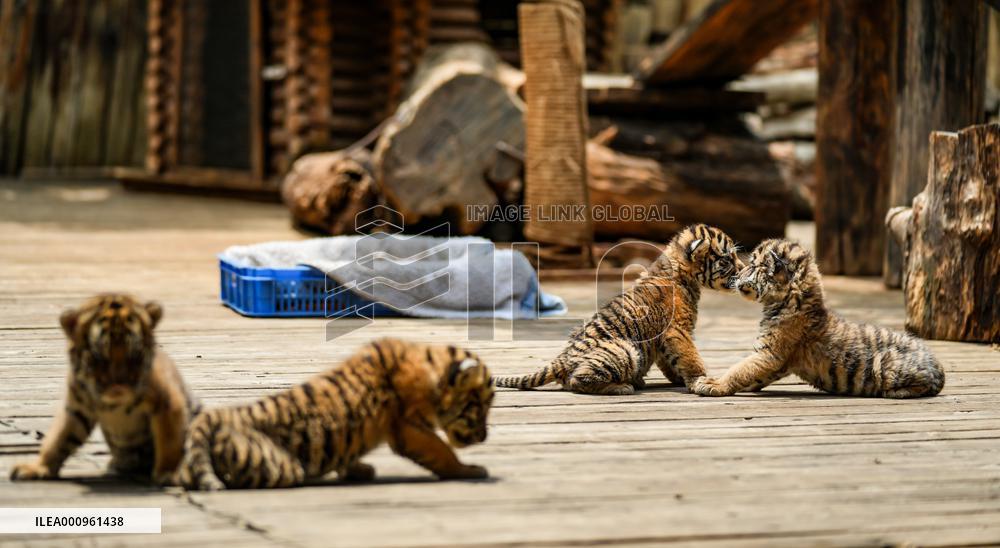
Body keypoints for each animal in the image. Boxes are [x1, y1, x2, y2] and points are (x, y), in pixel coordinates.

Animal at [10, 294, 199, 484]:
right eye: (98, 357)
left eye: (135, 355)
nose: (118, 384)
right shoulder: (77, 408)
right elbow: (58, 438)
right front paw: (38, 467)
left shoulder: (168, 403)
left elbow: (169, 440)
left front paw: (169, 473)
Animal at [172, 338, 494, 490]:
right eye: (480, 407)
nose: (484, 437)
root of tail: (223, 415)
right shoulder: (410, 428)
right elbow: (442, 451)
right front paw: (469, 470)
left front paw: (357, 469)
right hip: (277, 463)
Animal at [494, 224, 745, 395]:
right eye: (727, 259)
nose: (743, 268)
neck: (682, 274)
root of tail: (561, 358)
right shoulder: (678, 330)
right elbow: (691, 358)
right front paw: (701, 381)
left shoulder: (665, 339)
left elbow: (671, 360)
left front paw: (679, 379)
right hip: (623, 350)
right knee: (577, 381)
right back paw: (622, 386)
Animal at [693, 239, 945, 399]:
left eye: (754, 265)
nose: (737, 274)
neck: (787, 300)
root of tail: (938, 365)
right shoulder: (776, 361)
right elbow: (751, 375)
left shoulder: (770, 354)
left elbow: (739, 370)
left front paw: (713, 384)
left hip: (887, 365)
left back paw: (896, 392)